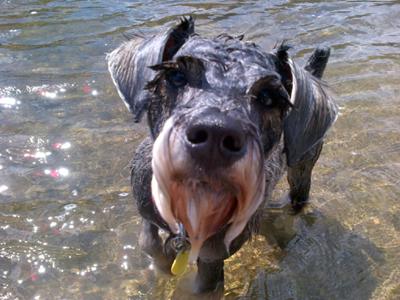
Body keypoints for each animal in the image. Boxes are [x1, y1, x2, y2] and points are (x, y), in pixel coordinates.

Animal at [107, 16, 338, 292]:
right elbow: (148, 242)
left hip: (301, 174)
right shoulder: (147, 210)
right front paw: (163, 263)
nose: (215, 133)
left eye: (269, 98)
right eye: (176, 75)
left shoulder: (212, 259)